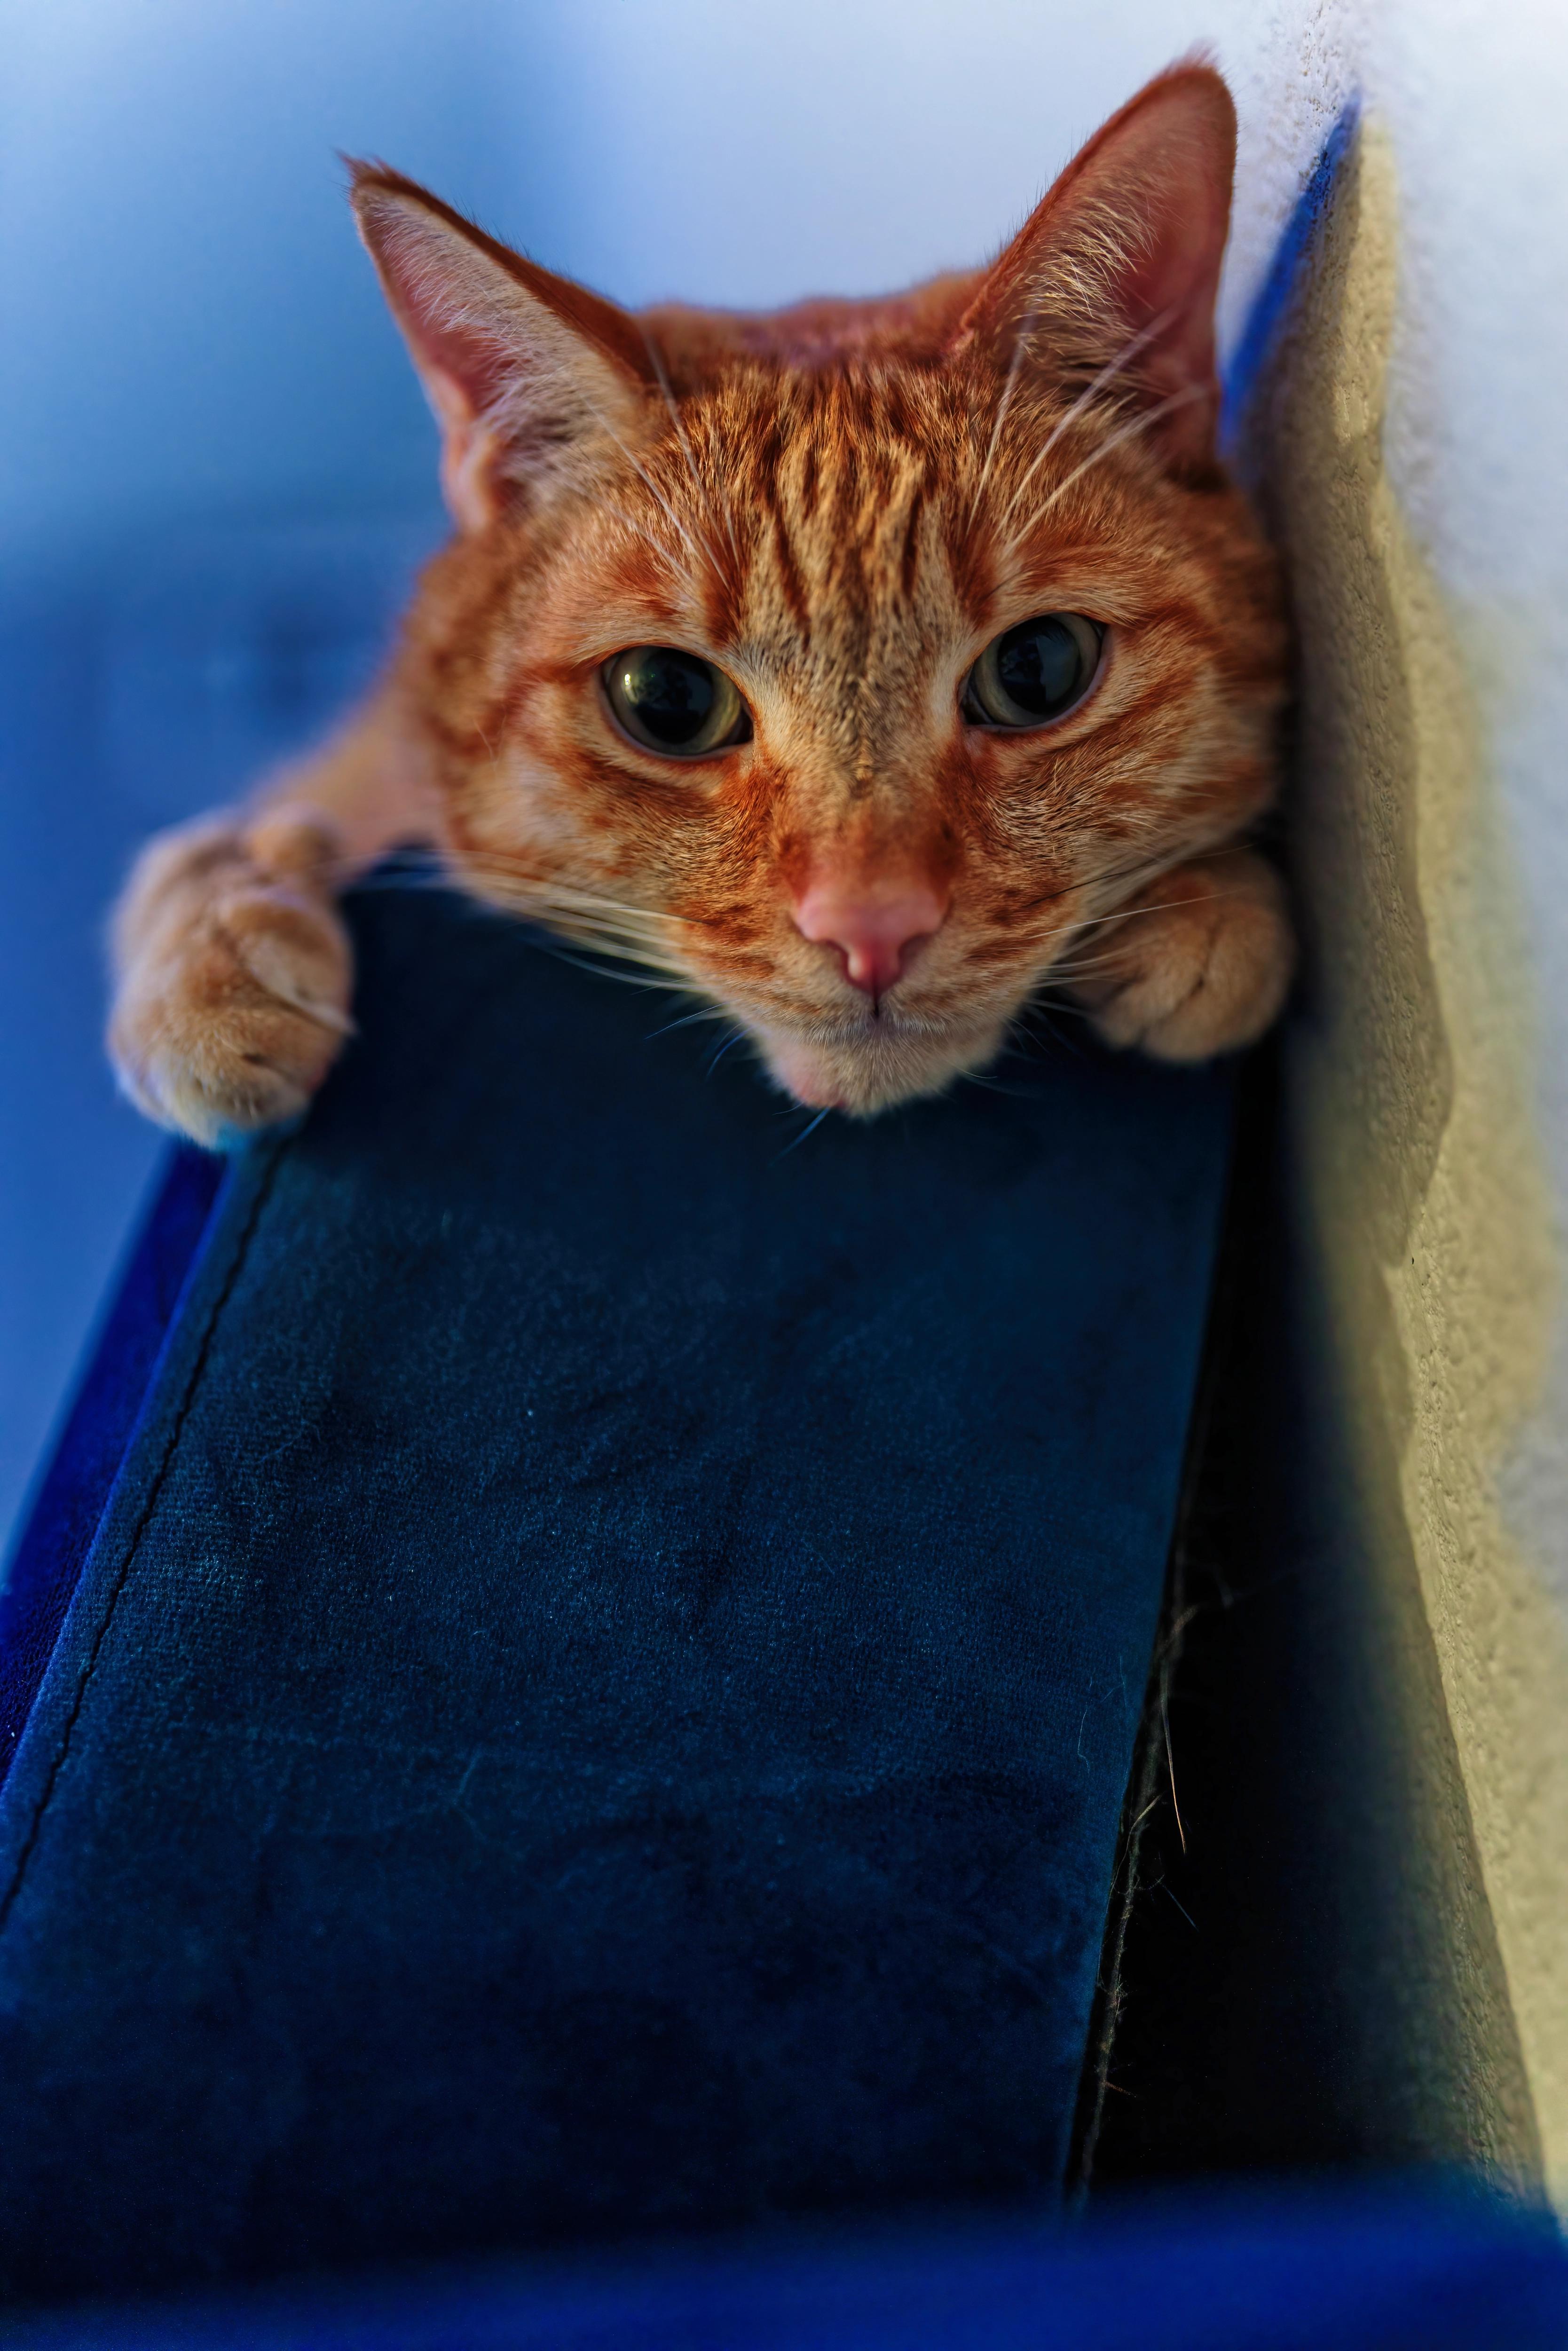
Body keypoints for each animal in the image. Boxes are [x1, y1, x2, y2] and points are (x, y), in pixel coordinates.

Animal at [107, 64, 1288, 1147]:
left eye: (1036, 670)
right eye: (666, 701)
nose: (872, 928)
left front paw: (1210, 909)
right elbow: (204, 849)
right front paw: (217, 953)